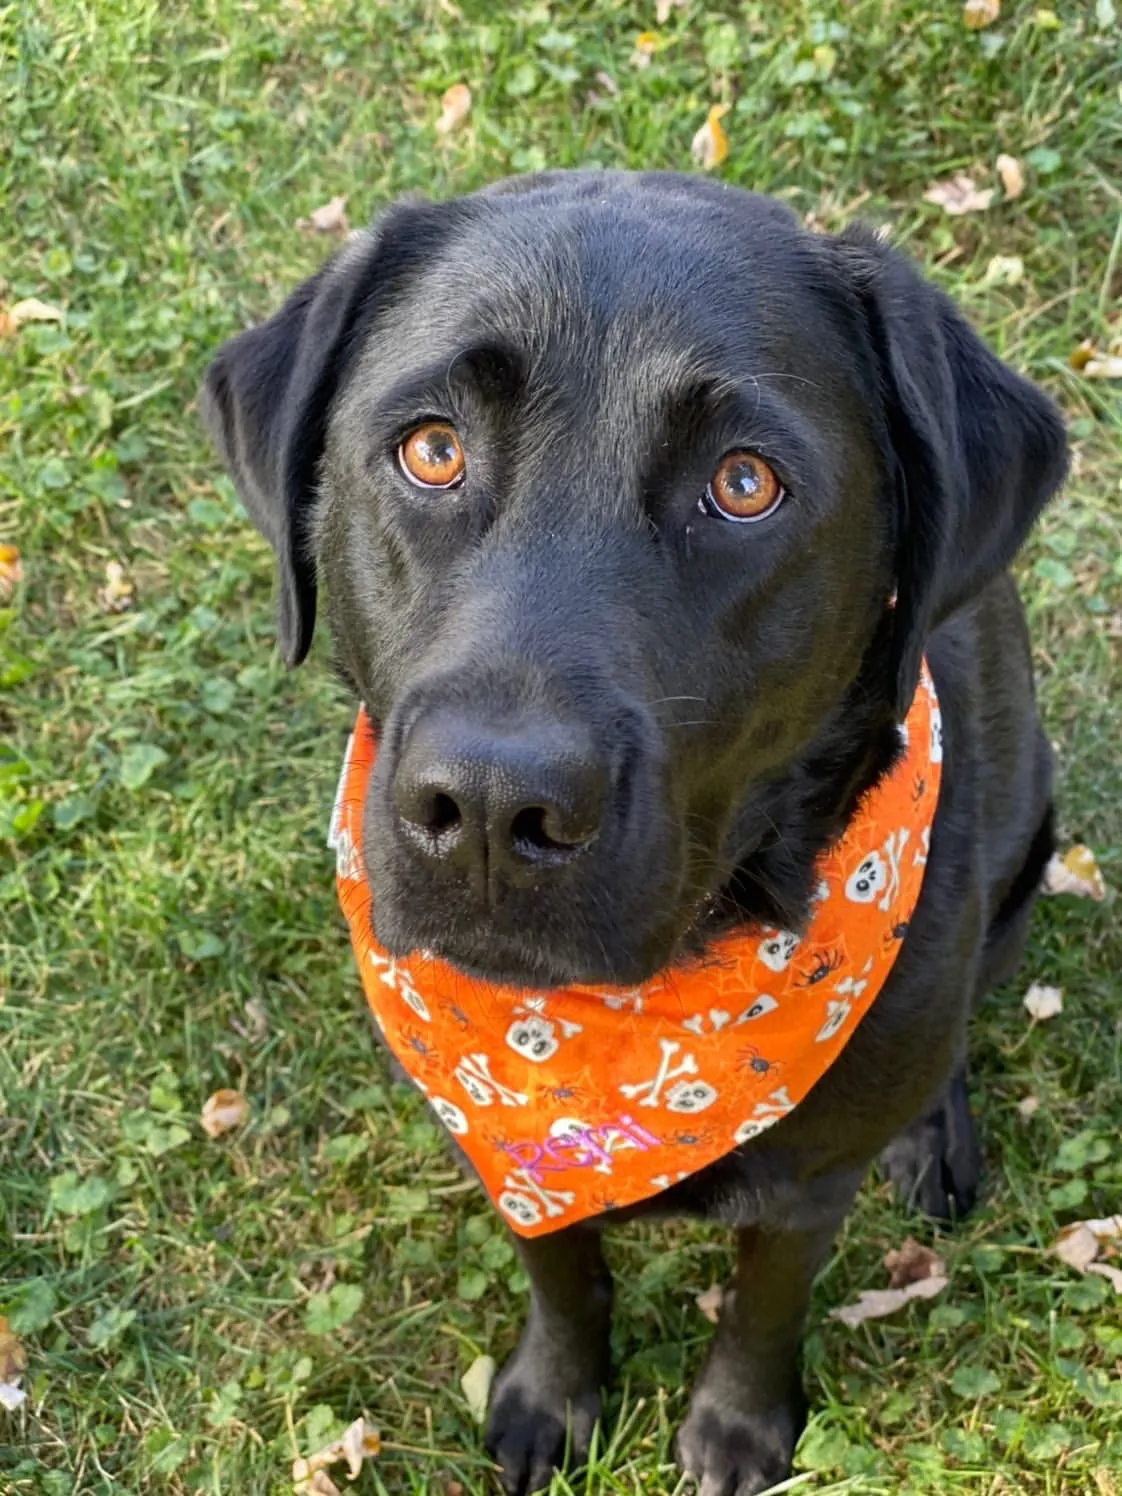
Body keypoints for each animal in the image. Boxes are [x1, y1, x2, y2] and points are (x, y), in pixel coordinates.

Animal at [201, 169, 1071, 1490]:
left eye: (746, 483)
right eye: (432, 449)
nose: (493, 807)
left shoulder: (807, 1187)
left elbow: (766, 1300)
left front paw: (736, 1428)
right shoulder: (510, 1147)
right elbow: (561, 1267)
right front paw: (552, 1396)